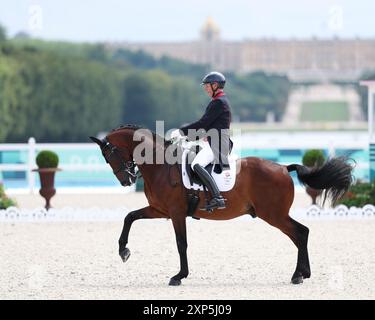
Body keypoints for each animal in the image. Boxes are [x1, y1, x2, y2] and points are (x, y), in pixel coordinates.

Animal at [89, 124, 354, 284]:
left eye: (109, 155)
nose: (127, 180)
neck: (161, 166)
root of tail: (282, 167)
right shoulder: (159, 210)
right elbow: (130, 216)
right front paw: (123, 251)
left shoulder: (176, 212)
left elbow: (181, 243)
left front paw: (179, 276)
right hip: (274, 215)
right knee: (300, 234)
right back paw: (301, 274)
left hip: (274, 215)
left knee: (300, 232)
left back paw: (299, 275)